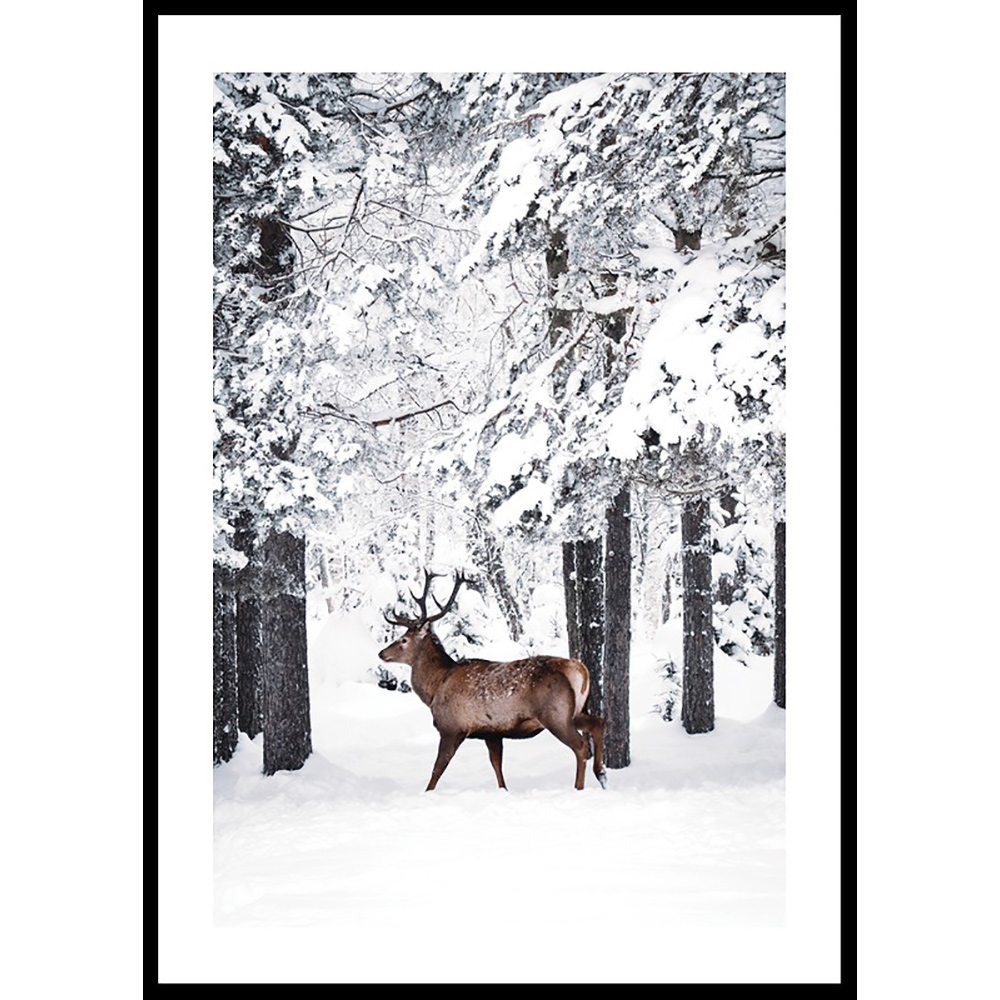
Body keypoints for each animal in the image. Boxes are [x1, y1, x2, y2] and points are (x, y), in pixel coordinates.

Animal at [379, 570, 606, 792]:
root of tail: (578, 669)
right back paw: (601, 774)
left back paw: (579, 787)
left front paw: (427, 793)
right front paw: (503, 790)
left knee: (580, 745)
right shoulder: (491, 733)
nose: (382, 653)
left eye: (403, 640)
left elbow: (437, 769)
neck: (435, 688)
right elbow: (497, 765)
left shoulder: (451, 727)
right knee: (598, 722)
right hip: (575, 710)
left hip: (554, 714)